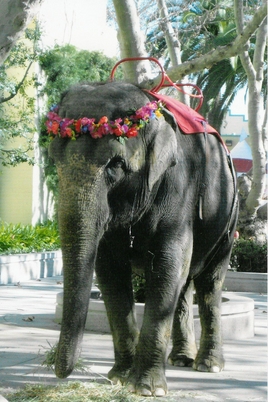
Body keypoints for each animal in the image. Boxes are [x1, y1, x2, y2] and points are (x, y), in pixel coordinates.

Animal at [47, 80, 237, 398]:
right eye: (54, 160)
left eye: (116, 164)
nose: (58, 372)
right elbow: (110, 274)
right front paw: (119, 377)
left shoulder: (178, 187)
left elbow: (166, 264)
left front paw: (148, 389)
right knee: (184, 286)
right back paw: (181, 359)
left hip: (228, 223)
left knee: (210, 283)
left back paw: (208, 366)